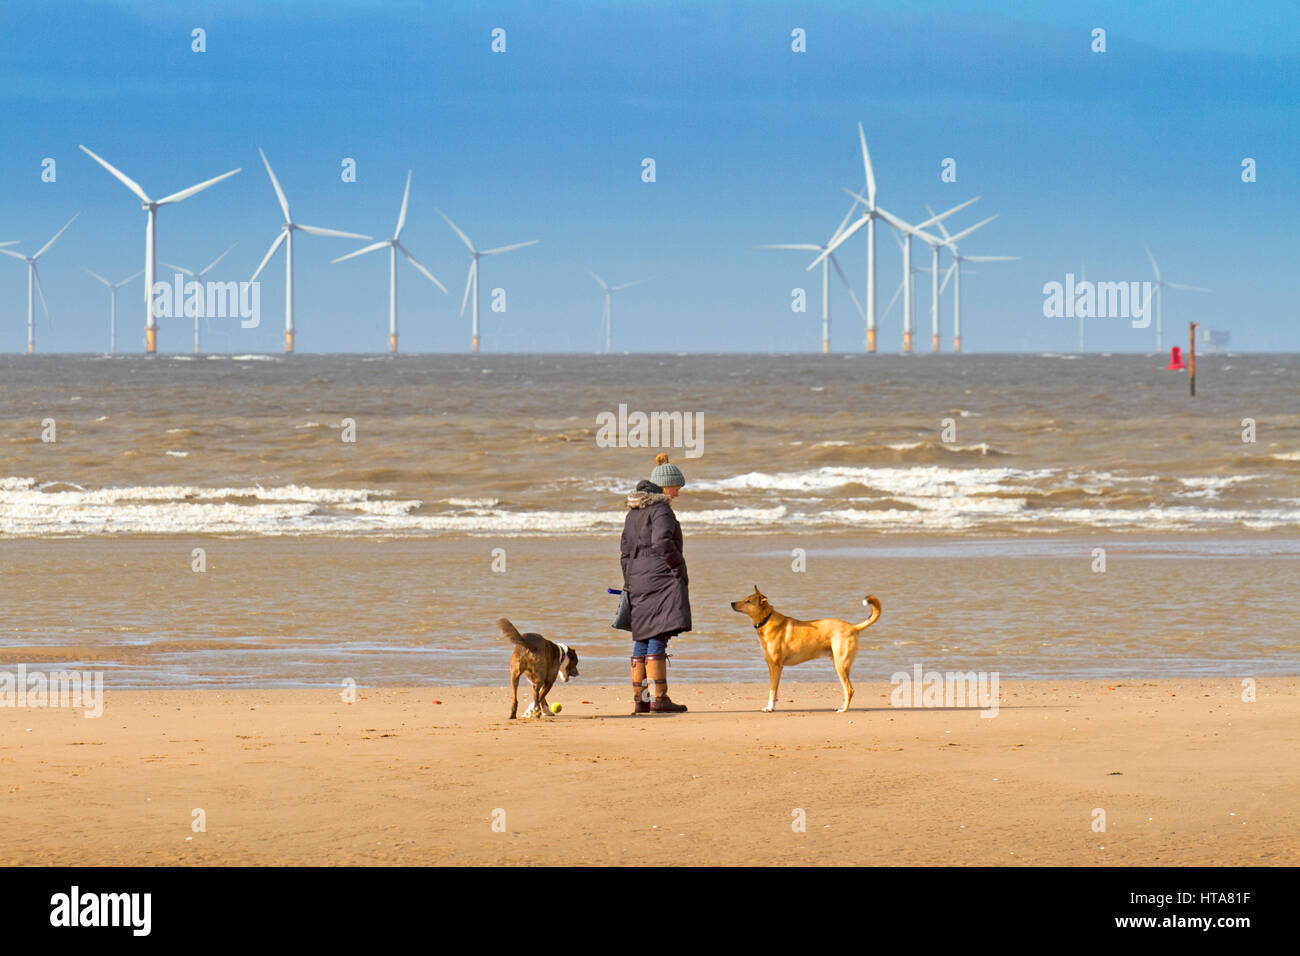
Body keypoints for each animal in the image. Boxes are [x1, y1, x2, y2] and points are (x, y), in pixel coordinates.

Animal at [733, 587, 883, 712]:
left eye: (748, 601)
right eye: (745, 598)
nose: (731, 603)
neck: (766, 620)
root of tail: (853, 627)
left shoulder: (776, 666)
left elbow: (772, 690)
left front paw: (769, 708)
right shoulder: (772, 666)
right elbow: (775, 691)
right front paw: (772, 706)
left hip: (841, 665)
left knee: (850, 689)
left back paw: (843, 710)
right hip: (838, 665)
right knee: (847, 690)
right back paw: (841, 707)